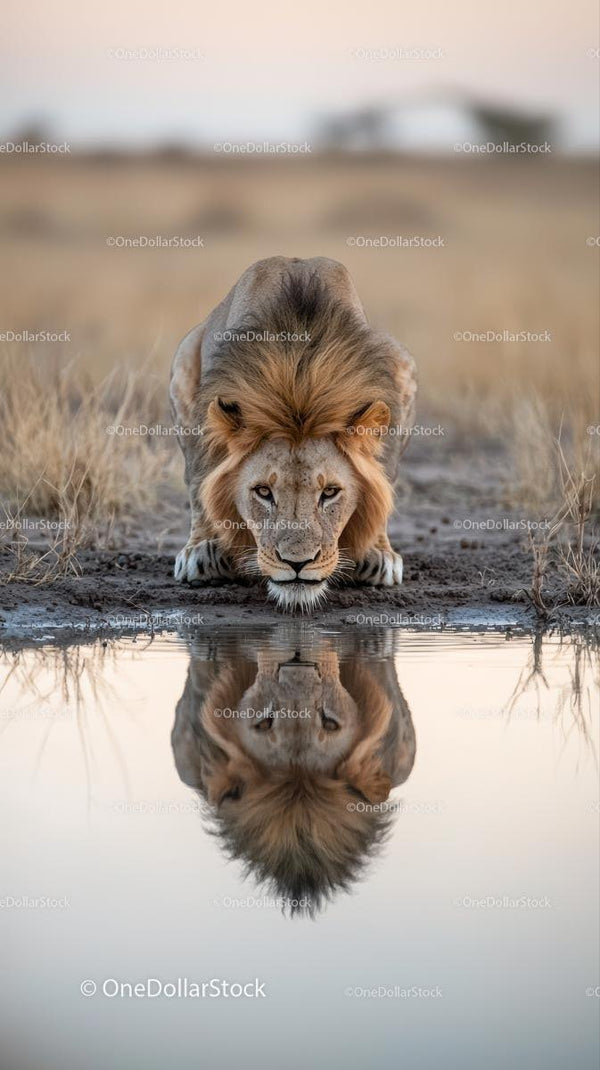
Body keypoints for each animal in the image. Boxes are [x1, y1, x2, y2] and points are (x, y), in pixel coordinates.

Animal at [170, 256, 417, 609]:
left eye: (330, 492)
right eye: (263, 491)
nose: (297, 563)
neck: (300, 381)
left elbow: (382, 483)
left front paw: (378, 552)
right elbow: (203, 485)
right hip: (184, 360)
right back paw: (201, 553)